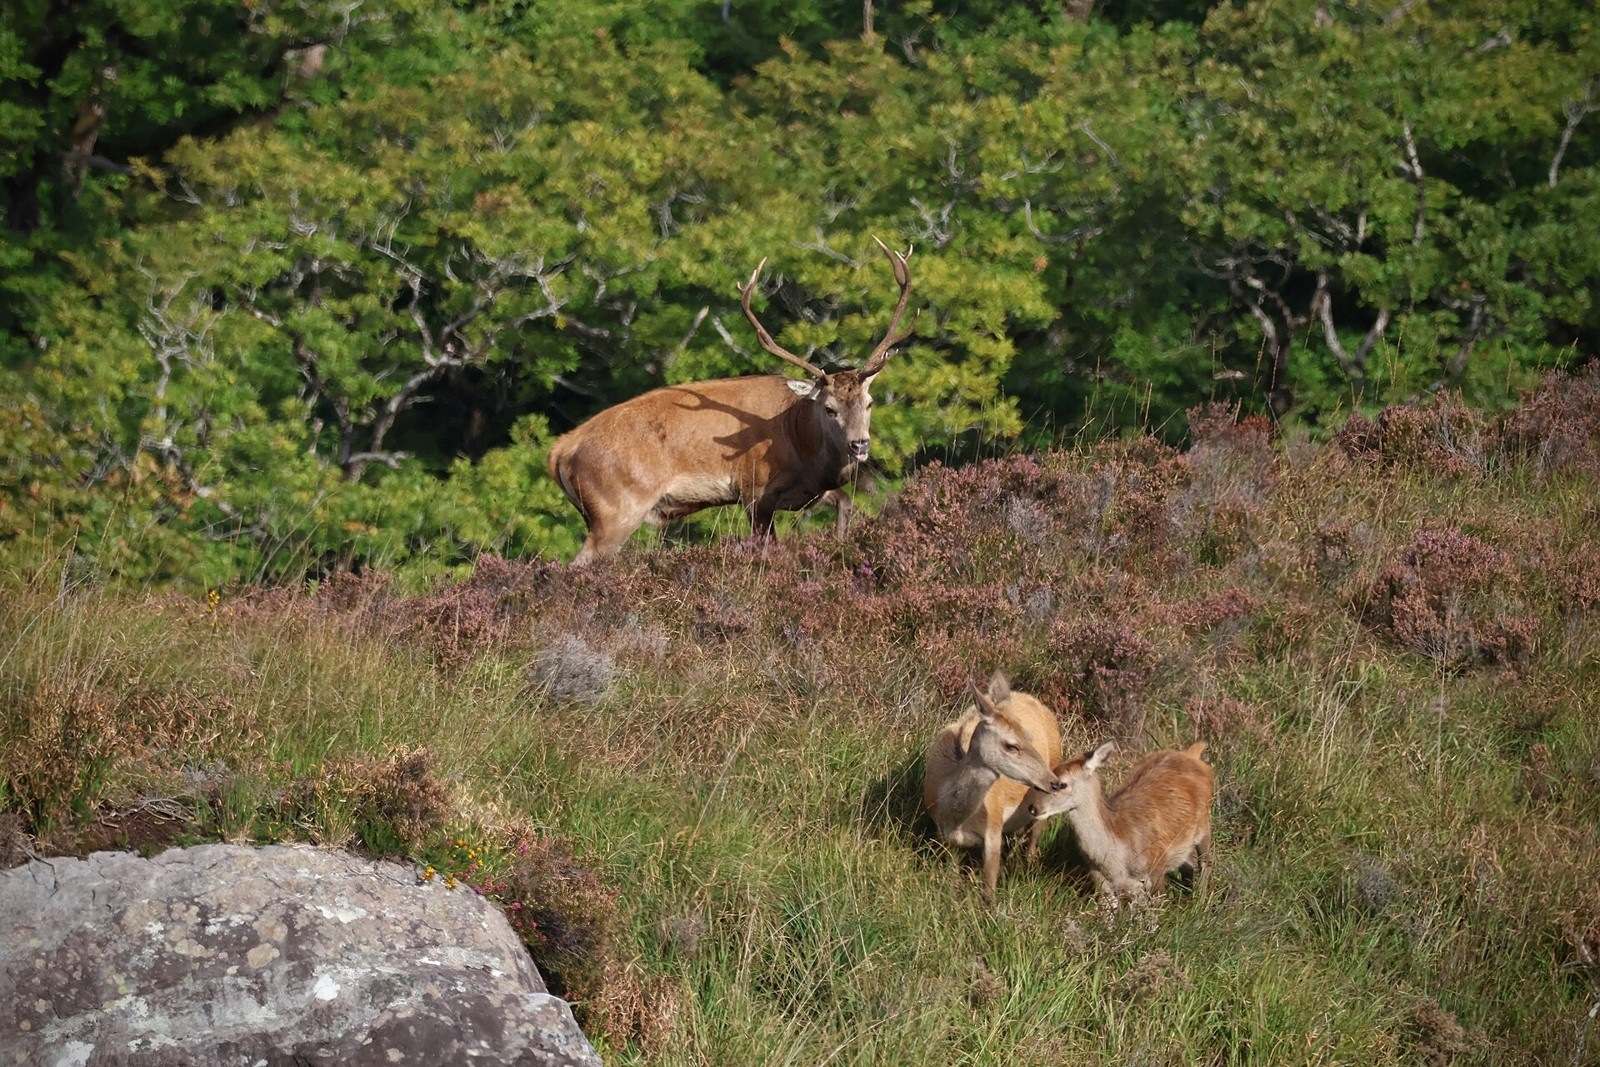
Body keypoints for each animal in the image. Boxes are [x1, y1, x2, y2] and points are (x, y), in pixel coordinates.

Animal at [546, 238, 914, 565]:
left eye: (869, 402)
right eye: (829, 408)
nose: (859, 445)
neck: (801, 444)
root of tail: (560, 450)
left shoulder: (810, 491)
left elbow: (845, 504)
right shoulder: (755, 491)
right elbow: (769, 549)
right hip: (615, 509)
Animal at [922, 671, 1063, 901]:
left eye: (1030, 737)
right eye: (1011, 745)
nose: (1054, 783)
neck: (956, 817)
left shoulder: (994, 831)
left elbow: (988, 893)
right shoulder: (946, 838)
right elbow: (952, 879)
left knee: (1033, 842)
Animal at [1023, 740, 1214, 908]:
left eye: (1061, 784)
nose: (1033, 808)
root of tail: (1191, 755)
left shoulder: (1155, 872)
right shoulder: (1102, 883)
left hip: (1204, 825)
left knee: (1205, 863)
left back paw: (1200, 905)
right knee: (1189, 864)